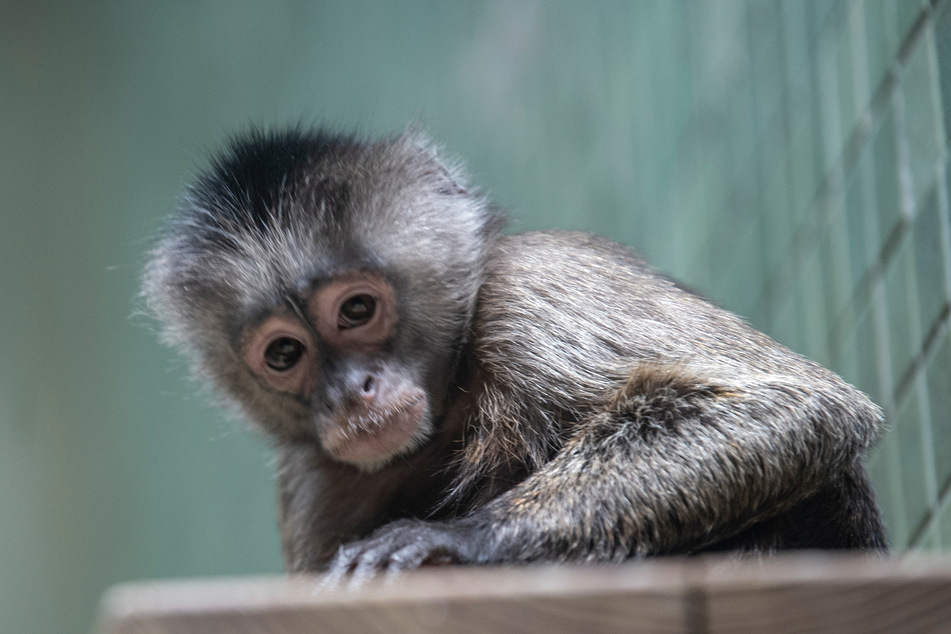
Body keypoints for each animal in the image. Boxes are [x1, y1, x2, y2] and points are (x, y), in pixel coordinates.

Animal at [145, 126, 888, 576]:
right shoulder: (310, 478)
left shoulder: (527, 284)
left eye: (356, 311)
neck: (449, 398)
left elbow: (796, 406)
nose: (351, 390)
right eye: (284, 354)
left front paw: (465, 537)